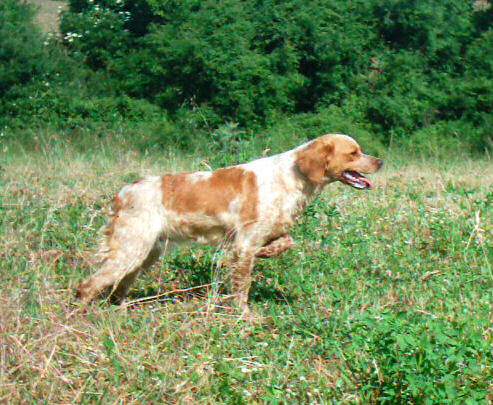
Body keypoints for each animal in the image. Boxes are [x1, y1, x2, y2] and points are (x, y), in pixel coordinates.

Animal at [77, 134, 382, 314]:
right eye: (354, 153)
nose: (380, 161)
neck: (292, 176)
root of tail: (124, 192)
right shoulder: (245, 242)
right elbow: (242, 285)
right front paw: (245, 316)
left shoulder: (257, 235)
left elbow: (286, 241)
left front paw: (268, 251)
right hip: (131, 249)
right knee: (88, 286)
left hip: (146, 253)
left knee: (118, 287)